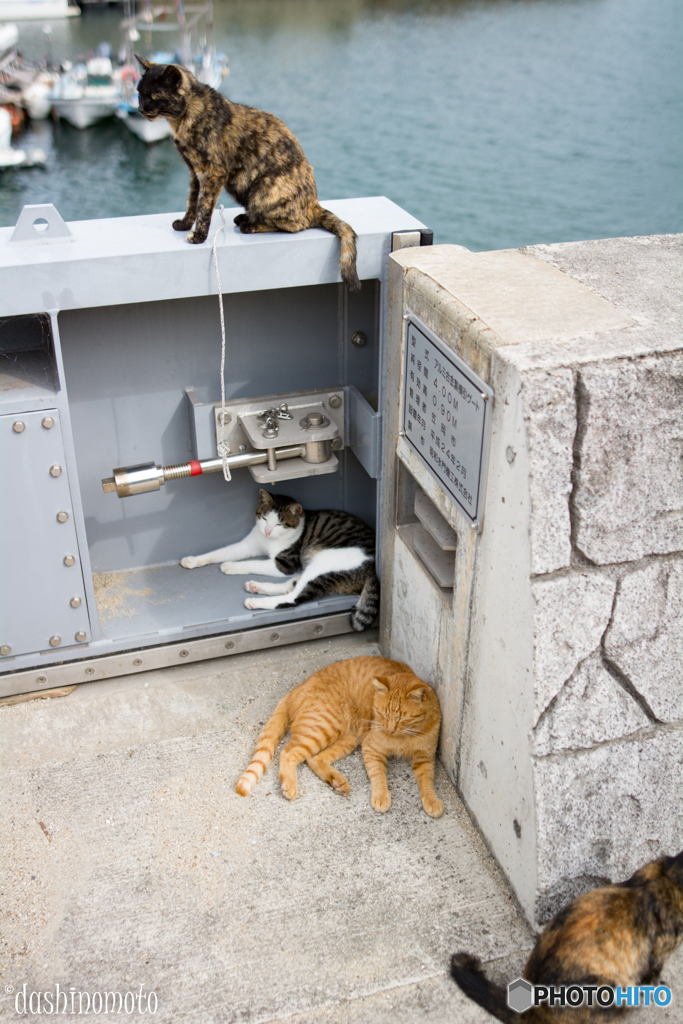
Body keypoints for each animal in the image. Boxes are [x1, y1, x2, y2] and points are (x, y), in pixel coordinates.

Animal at [131, 56, 360, 290]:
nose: (139, 109)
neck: (184, 117)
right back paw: (245, 217)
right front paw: (185, 224)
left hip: (264, 188)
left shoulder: (213, 172)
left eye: (153, 96)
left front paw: (198, 236)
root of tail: (314, 204)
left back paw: (250, 225)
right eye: (139, 93)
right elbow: (192, 201)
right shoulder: (194, 173)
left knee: (296, 224)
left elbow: (203, 206)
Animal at [179, 489, 378, 630]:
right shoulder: (248, 545)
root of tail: (374, 568)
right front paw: (193, 560)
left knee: (292, 597)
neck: (268, 541)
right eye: (264, 518)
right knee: (291, 586)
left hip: (326, 564)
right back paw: (256, 587)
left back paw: (255, 601)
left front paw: (230, 566)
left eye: (279, 524)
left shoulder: (284, 564)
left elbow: (253, 563)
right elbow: (220, 552)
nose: (267, 531)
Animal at [237, 655, 446, 815]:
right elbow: (378, 775)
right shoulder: (371, 748)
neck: (404, 738)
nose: (389, 729)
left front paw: (432, 800)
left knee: (313, 759)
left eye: (402, 718)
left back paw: (337, 782)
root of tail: (297, 688)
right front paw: (381, 796)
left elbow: (427, 781)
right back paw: (291, 785)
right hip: (324, 728)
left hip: (348, 738)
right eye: (382, 713)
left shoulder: (425, 758)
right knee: (288, 753)